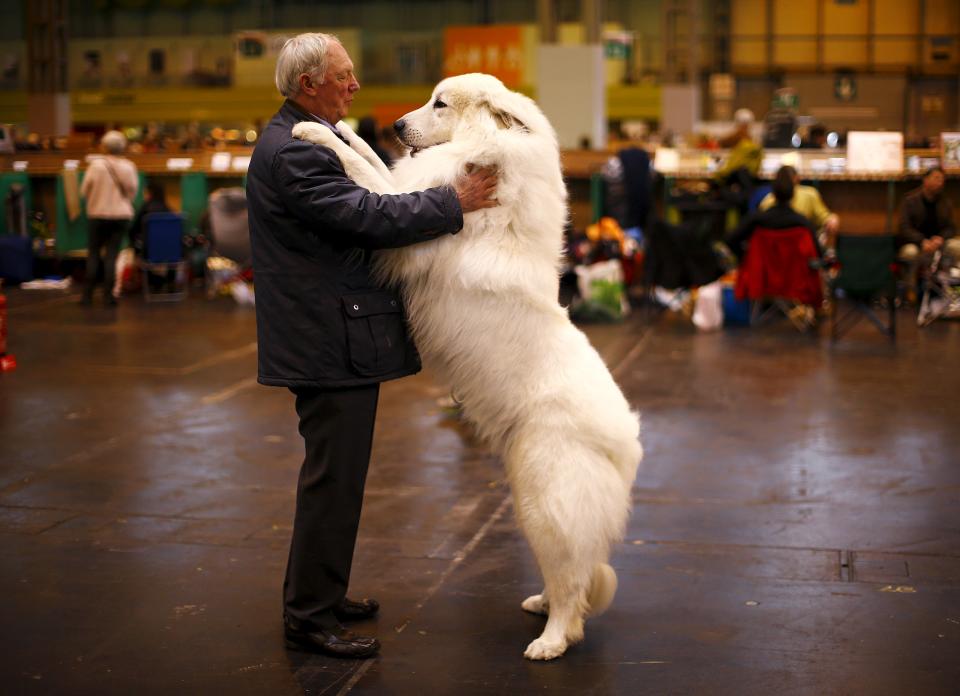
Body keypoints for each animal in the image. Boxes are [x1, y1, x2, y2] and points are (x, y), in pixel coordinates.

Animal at [288, 73, 640, 660]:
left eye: (440, 104)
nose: (395, 125)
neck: (491, 156)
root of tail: (627, 446)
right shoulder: (411, 188)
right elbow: (373, 161)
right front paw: (342, 130)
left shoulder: (404, 216)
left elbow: (366, 174)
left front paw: (312, 131)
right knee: (568, 573)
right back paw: (541, 605)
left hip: (544, 505)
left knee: (572, 584)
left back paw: (550, 641)